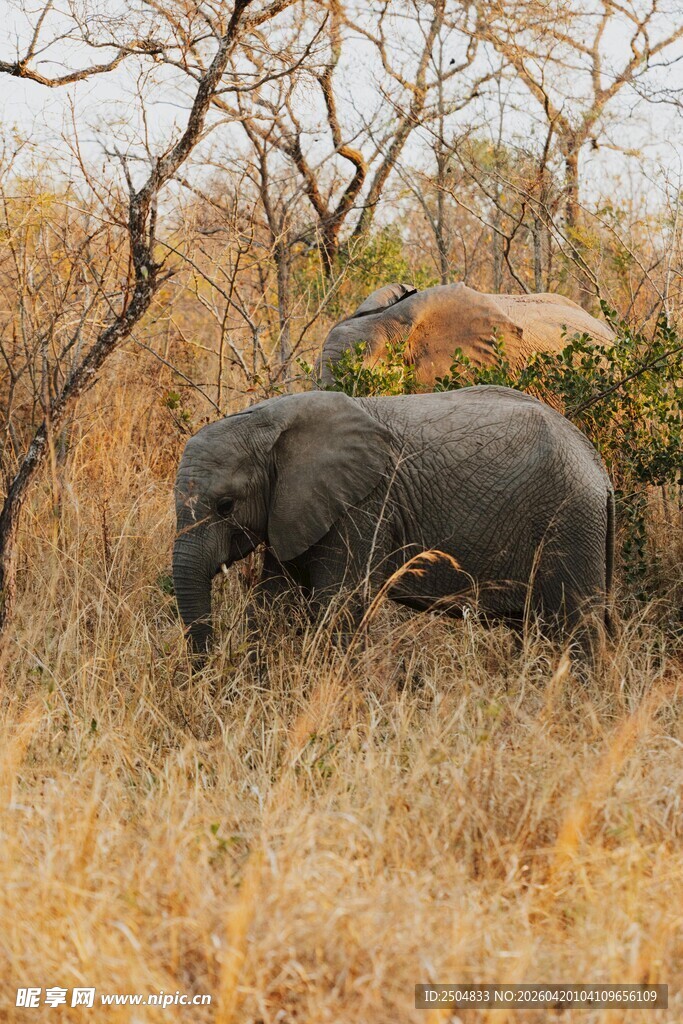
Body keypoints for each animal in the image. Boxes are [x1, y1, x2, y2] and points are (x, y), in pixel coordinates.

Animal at [173, 387, 614, 661]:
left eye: (226, 506)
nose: (207, 668)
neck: (268, 419)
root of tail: (601, 472)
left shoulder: (364, 505)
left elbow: (338, 604)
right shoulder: (296, 507)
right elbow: (275, 600)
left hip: (570, 522)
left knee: (575, 628)